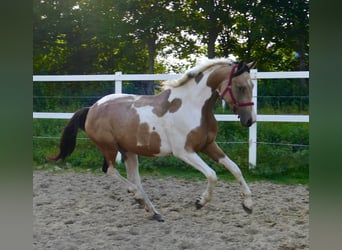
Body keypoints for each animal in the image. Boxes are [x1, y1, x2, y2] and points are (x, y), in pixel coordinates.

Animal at [48, 57, 256, 222]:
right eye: (240, 87)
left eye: (252, 86)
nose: (250, 120)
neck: (194, 107)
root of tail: (92, 108)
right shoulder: (184, 152)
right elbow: (212, 175)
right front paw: (200, 202)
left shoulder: (208, 145)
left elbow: (235, 169)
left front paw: (247, 204)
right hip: (109, 147)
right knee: (110, 170)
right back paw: (138, 197)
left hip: (128, 151)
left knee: (134, 178)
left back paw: (153, 211)